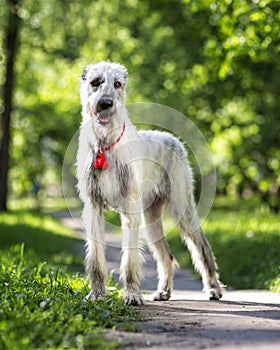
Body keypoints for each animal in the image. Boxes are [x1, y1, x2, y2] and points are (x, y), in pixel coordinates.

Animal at [76, 61, 223, 304]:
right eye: (95, 82)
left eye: (118, 84)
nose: (106, 104)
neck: (106, 145)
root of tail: (173, 139)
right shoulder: (94, 208)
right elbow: (96, 258)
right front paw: (96, 294)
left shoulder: (130, 210)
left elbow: (130, 258)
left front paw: (132, 295)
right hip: (151, 219)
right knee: (166, 255)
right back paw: (164, 291)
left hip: (182, 208)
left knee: (202, 247)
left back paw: (213, 288)